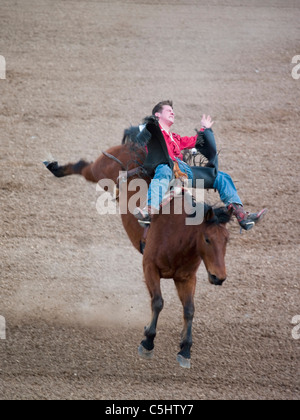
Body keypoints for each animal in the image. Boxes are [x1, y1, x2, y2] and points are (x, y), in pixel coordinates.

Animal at [44, 144, 232, 368]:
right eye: (207, 239)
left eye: (227, 239)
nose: (219, 277)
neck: (178, 235)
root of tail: (131, 146)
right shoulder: (149, 267)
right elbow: (158, 302)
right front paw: (148, 341)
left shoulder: (186, 278)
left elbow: (189, 310)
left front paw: (185, 349)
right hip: (100, 171)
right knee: (83, 166)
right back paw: (54, 167)